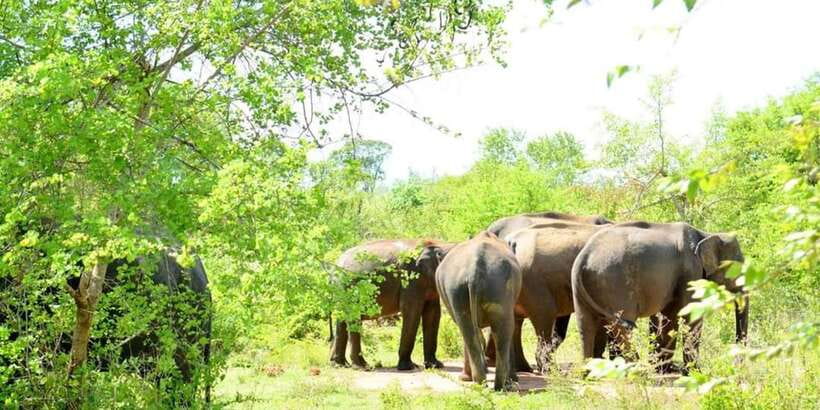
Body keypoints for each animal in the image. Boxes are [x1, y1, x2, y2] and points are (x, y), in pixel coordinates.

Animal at [330, 239, 454, 370]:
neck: (438, 243)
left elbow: (433, 314)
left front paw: (436, 365)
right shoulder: (410, 278)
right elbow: (412, 311)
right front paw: (408, 367)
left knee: (341, 320)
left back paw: (339, 364)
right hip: (348, 288)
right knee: (352, 317)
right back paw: (363, 367)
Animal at [435, 231, 522, 391]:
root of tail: (474, 271)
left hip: (461, 290)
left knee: (470, 330)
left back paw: (483, 384)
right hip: (493, 289)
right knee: (502, 329)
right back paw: (502, 385)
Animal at [571, 221, 748, 373]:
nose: (736, 367)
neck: (705, 234)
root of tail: (583, 257)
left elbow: (671, 315)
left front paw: (664, 370)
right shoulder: (691, 271)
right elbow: (690, 314)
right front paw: (694, 373)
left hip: (584, 288)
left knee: (585, 325)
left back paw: (588, 374)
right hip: (615, 285)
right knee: (621, 325)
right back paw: (636, 370)